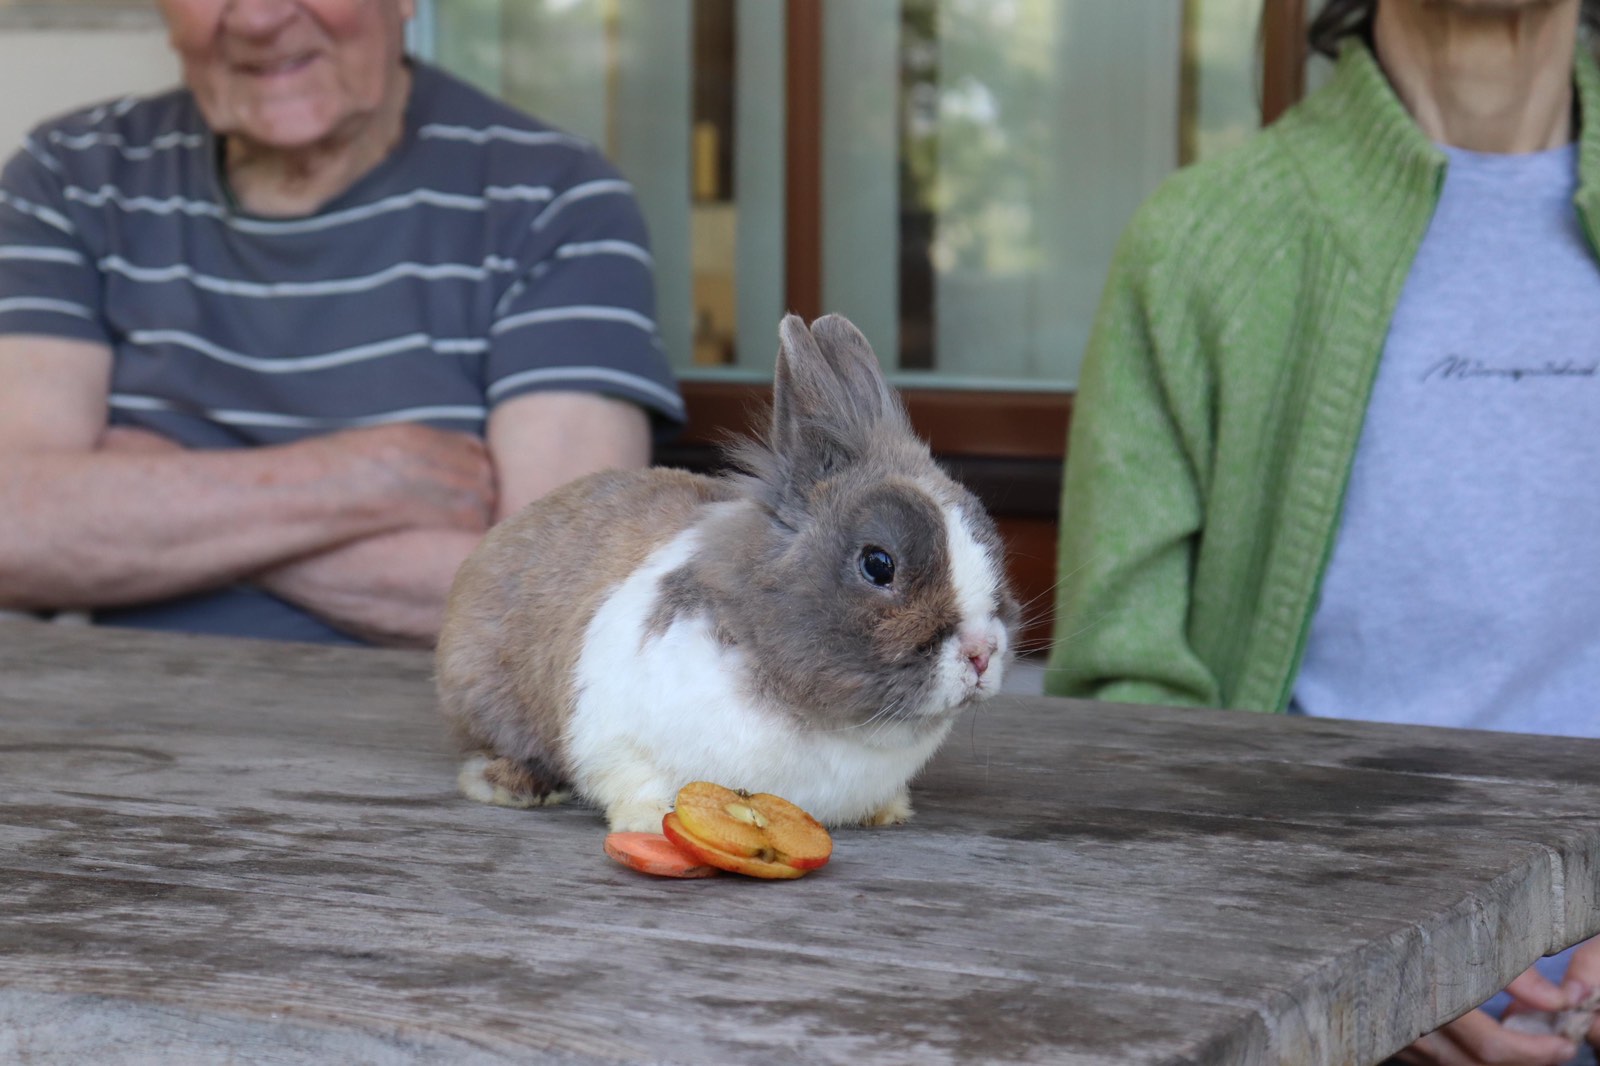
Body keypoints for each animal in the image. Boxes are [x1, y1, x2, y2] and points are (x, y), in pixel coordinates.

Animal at [432, 312, 1017, 832]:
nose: (982, 652)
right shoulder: (615, 736)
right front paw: (651, 821)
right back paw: (512, 784)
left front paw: (888, 812)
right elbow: (632, 782)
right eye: (878, 564)